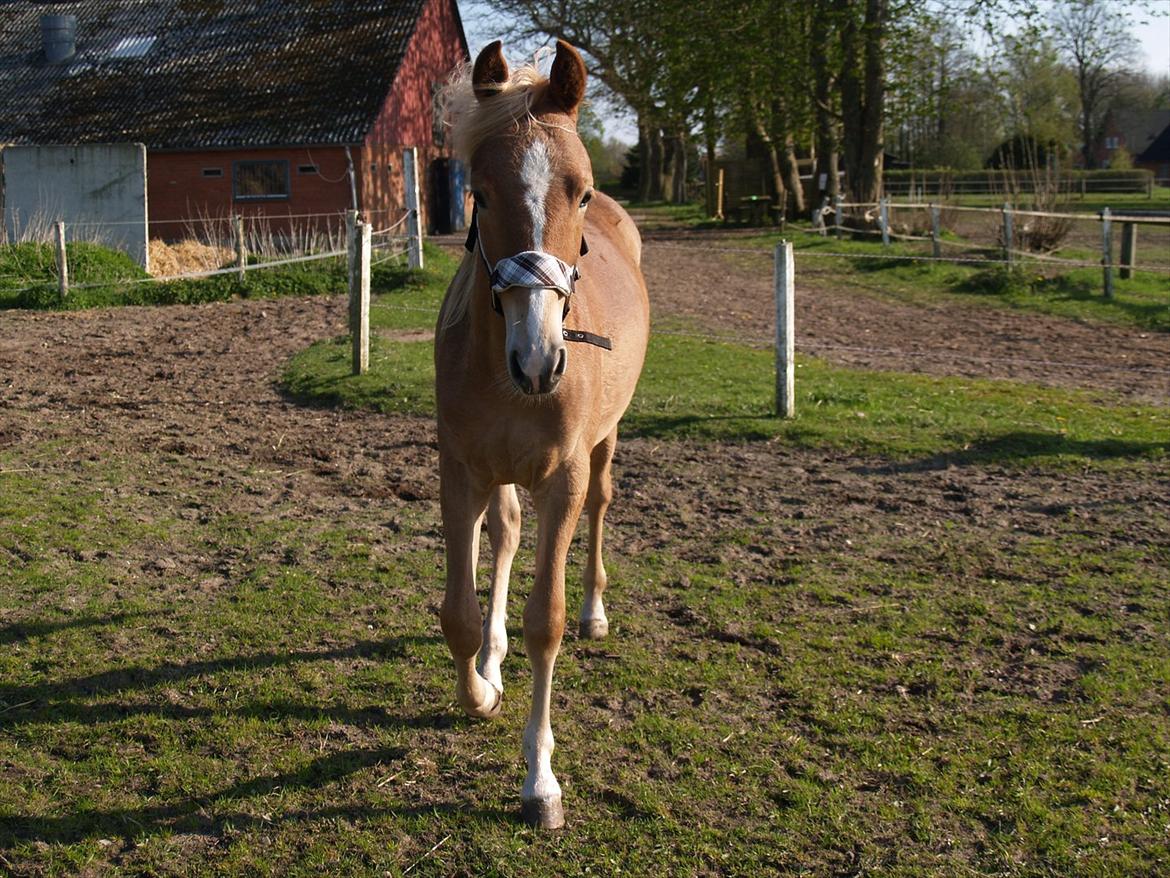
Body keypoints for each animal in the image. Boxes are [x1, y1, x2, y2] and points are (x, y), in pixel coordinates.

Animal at [434, 39, 650, 829]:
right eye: (480, 192)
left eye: (580, 191)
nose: (540, 360)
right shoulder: (461, 470)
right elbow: (460, 616)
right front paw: (481, 689)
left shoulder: (563, 477)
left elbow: (544, 624)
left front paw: (540, 781)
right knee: (504, 532)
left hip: (604, 448)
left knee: (601, 511)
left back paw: (596, 614)